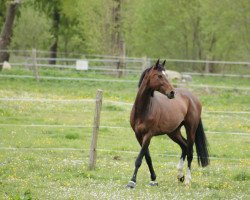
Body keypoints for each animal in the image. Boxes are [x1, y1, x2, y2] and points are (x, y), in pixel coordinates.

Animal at [127, 59, 209, 188]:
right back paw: (180, 176)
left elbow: (139, 159)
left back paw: (187, 180)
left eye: (166, 75)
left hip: (190, 129)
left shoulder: (148, 135)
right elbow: (147, 157)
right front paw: (153, 179)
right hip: (173, 132)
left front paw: (132, 181)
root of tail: (193, 98)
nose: (172, 93)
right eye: (159, 76)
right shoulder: (138, 135)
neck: (143, 110)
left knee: (190, 152)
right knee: (184, 146)